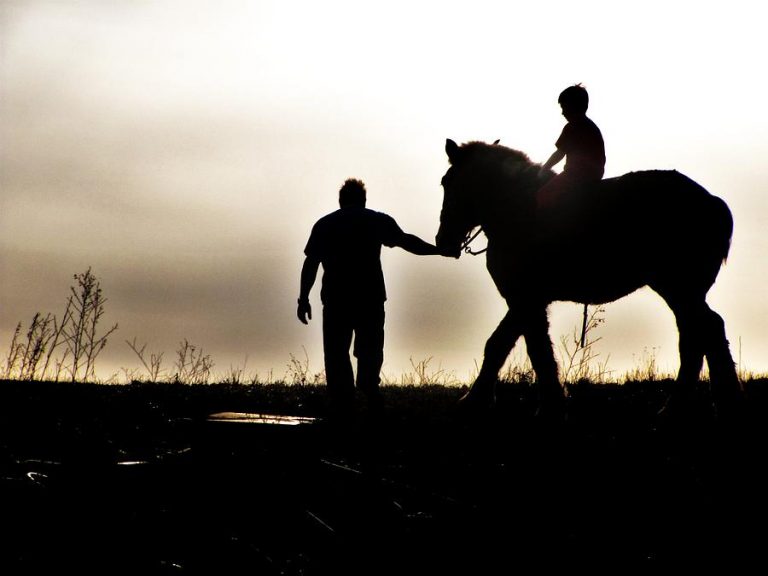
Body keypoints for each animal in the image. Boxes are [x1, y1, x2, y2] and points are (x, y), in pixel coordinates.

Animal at [435, 138, 743, 417]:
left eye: (447, 182)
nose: (443, 241)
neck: (517, 210)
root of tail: (712, 202)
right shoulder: (527, 300)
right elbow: (514, 345)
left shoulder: (526, 298)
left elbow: (521, 348)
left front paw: (543, 405)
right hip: (681, 291)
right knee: (697, 333)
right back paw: (691, 403)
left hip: (678, 287)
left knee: (706, 330)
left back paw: (711, 401)